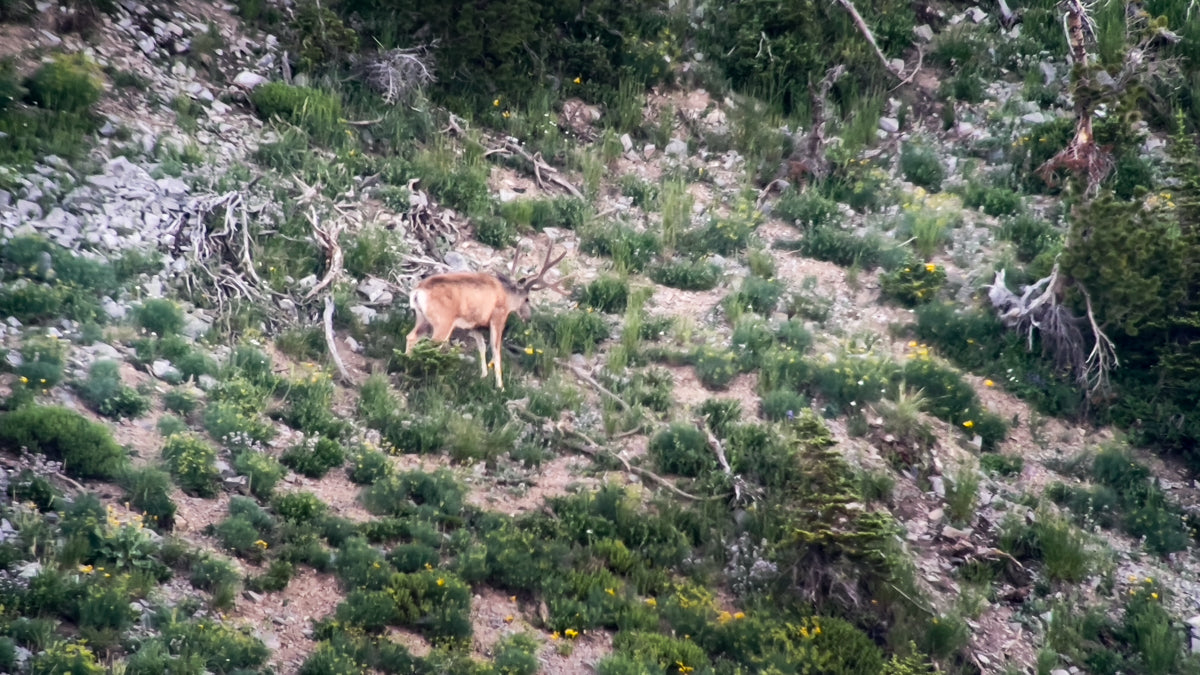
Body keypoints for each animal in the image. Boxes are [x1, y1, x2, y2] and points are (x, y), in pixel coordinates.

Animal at [408, 241, 566, 389]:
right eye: (527, 299)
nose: (528, 317)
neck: (506, 296)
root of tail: (417, 291)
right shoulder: (498, 317)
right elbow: (496, 350)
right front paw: (500, 386)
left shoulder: (475, 324)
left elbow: (482, 346)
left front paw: (483, 376)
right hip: (443, 322)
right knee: (429, 347)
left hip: (423, 319)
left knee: (411, 337)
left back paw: (408, 363)